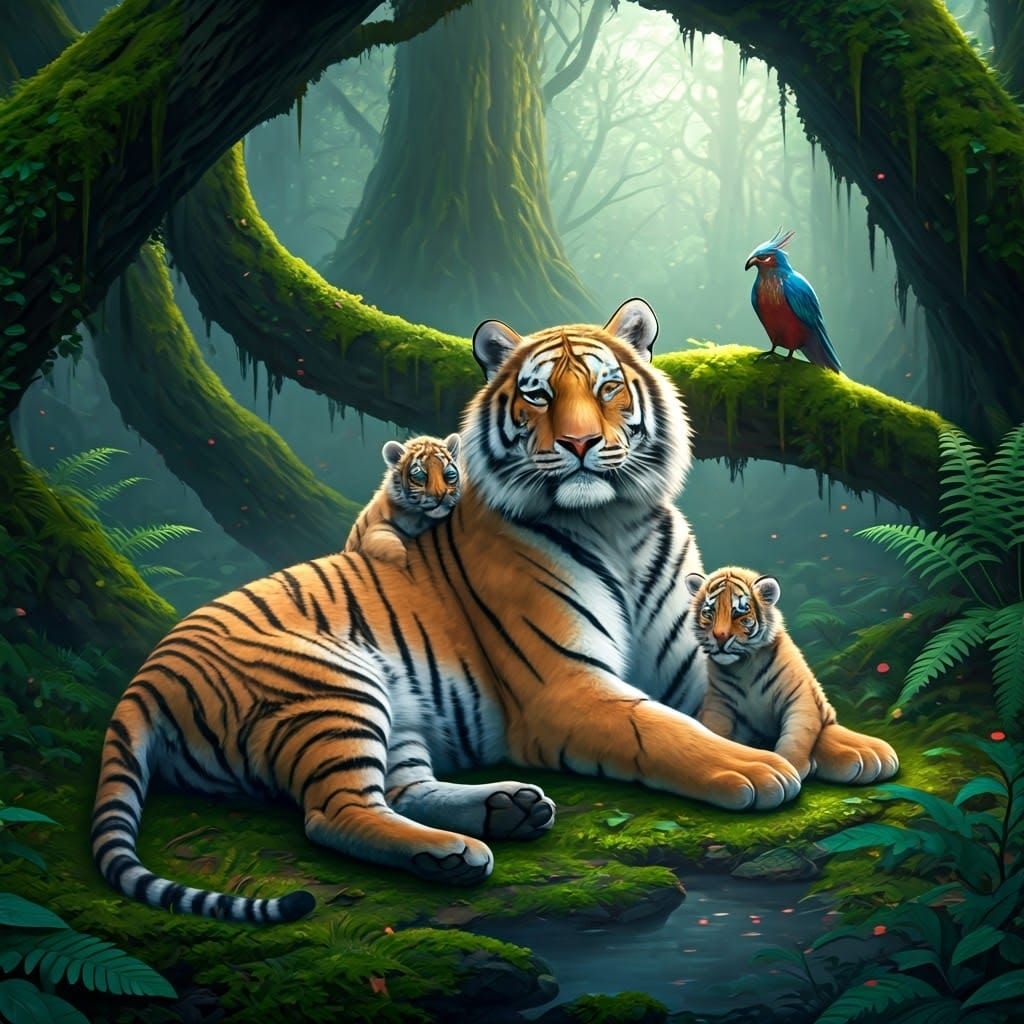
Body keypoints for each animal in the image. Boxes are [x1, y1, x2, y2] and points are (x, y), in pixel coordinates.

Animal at [344, 433, 461, 567]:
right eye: (420, 475)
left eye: (450, 474)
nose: (440, 495)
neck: (421, 519)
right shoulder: (377, 529)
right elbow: (393, 551)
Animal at [685, 566, 899, 783]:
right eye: (709, 613)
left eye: (738, 613)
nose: (720, 637)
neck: (744, 665)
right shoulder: (719, 703)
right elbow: (715, 731)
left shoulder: (800, 698)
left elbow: (797, 736)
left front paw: (790, 767)